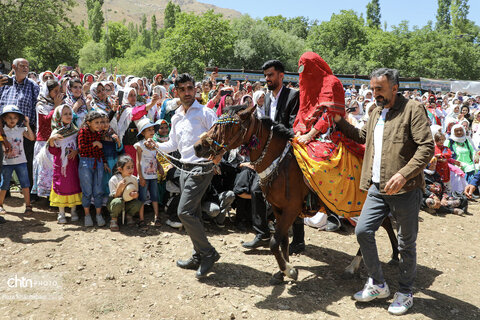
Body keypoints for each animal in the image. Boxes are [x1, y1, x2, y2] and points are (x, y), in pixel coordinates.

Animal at [193, 104, 400, 282]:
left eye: (228, 125)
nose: (198, 146)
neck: (280, 161)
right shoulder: (278, 209)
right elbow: (283, 241)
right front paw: (282, 270)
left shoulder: (291, 209)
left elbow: (274, 242)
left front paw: (289, 271)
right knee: (385, 223)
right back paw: (394, 255)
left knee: (379, 225)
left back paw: (355, 265)